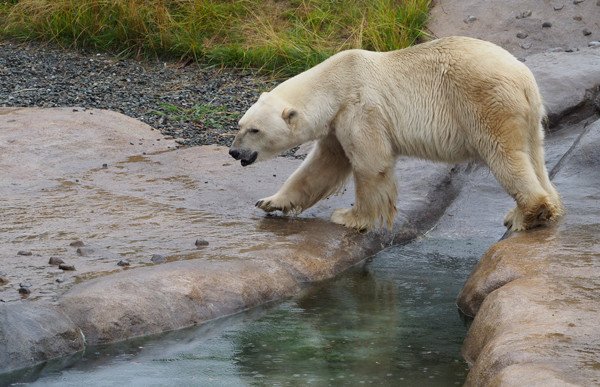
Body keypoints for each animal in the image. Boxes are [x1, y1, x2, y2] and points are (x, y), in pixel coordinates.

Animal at [227, 34, 564, 232]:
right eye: (239, 126)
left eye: (255, 130)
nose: (233, 152)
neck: (335, 82)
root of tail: (524, 78)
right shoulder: (337, 122)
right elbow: (321, 166)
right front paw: (269, 201)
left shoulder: (360, 109)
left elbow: (370, 164)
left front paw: (351, 217)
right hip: (529, 118)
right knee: (533, 154)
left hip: (486, 102)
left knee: (503, 154)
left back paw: (525, 214)